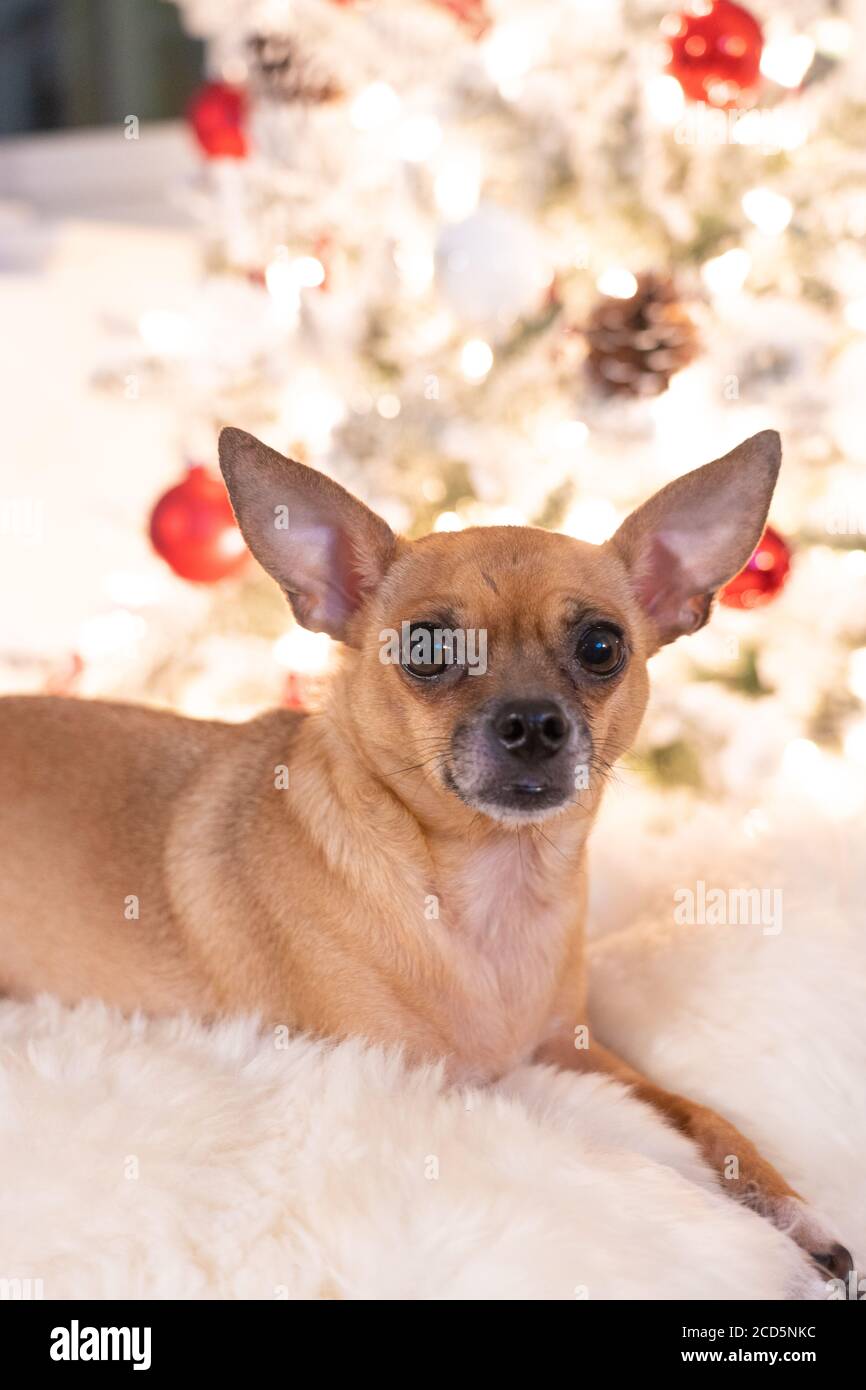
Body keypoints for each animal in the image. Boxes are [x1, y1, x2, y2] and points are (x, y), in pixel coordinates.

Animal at [0, 425, 856, 1278]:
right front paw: (719, 1232)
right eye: (429, 646)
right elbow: (624, 1159)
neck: (493, 886)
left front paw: (792, 1214)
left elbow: (707, 1120)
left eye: (602, 647)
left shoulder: (575, 1050)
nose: (532, 723)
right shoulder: (429, 1082)